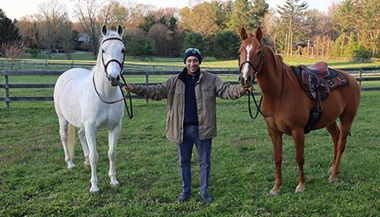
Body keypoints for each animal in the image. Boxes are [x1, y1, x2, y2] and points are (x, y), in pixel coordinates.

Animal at [54, 24, 125, 192]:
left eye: (122, 50)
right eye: (103, 50)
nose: (113, 78)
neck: (106, 95)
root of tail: (67, 73)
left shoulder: (115, 127)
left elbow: (112, 153)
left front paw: (113, 180)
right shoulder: (91, 127)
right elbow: (95, 156)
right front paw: (94, 186)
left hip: (81, 124)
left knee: (80, 134)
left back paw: (85, 160)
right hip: (62, 118)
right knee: (64, 137)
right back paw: (70, 163)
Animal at [239, 26, 360, 195]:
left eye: (259, 52)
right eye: (240, 51)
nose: (245, 79)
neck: (279, 93)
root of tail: (353, 79)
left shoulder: (298, 130)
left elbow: (299, 157)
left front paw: (301, 185)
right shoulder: (273, 131)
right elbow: (277, 158)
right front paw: (276, 187)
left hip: (347, 117)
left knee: (342, 143)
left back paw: (334, 175)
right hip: (329, 120)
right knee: (336, 139)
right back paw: (332, 169)